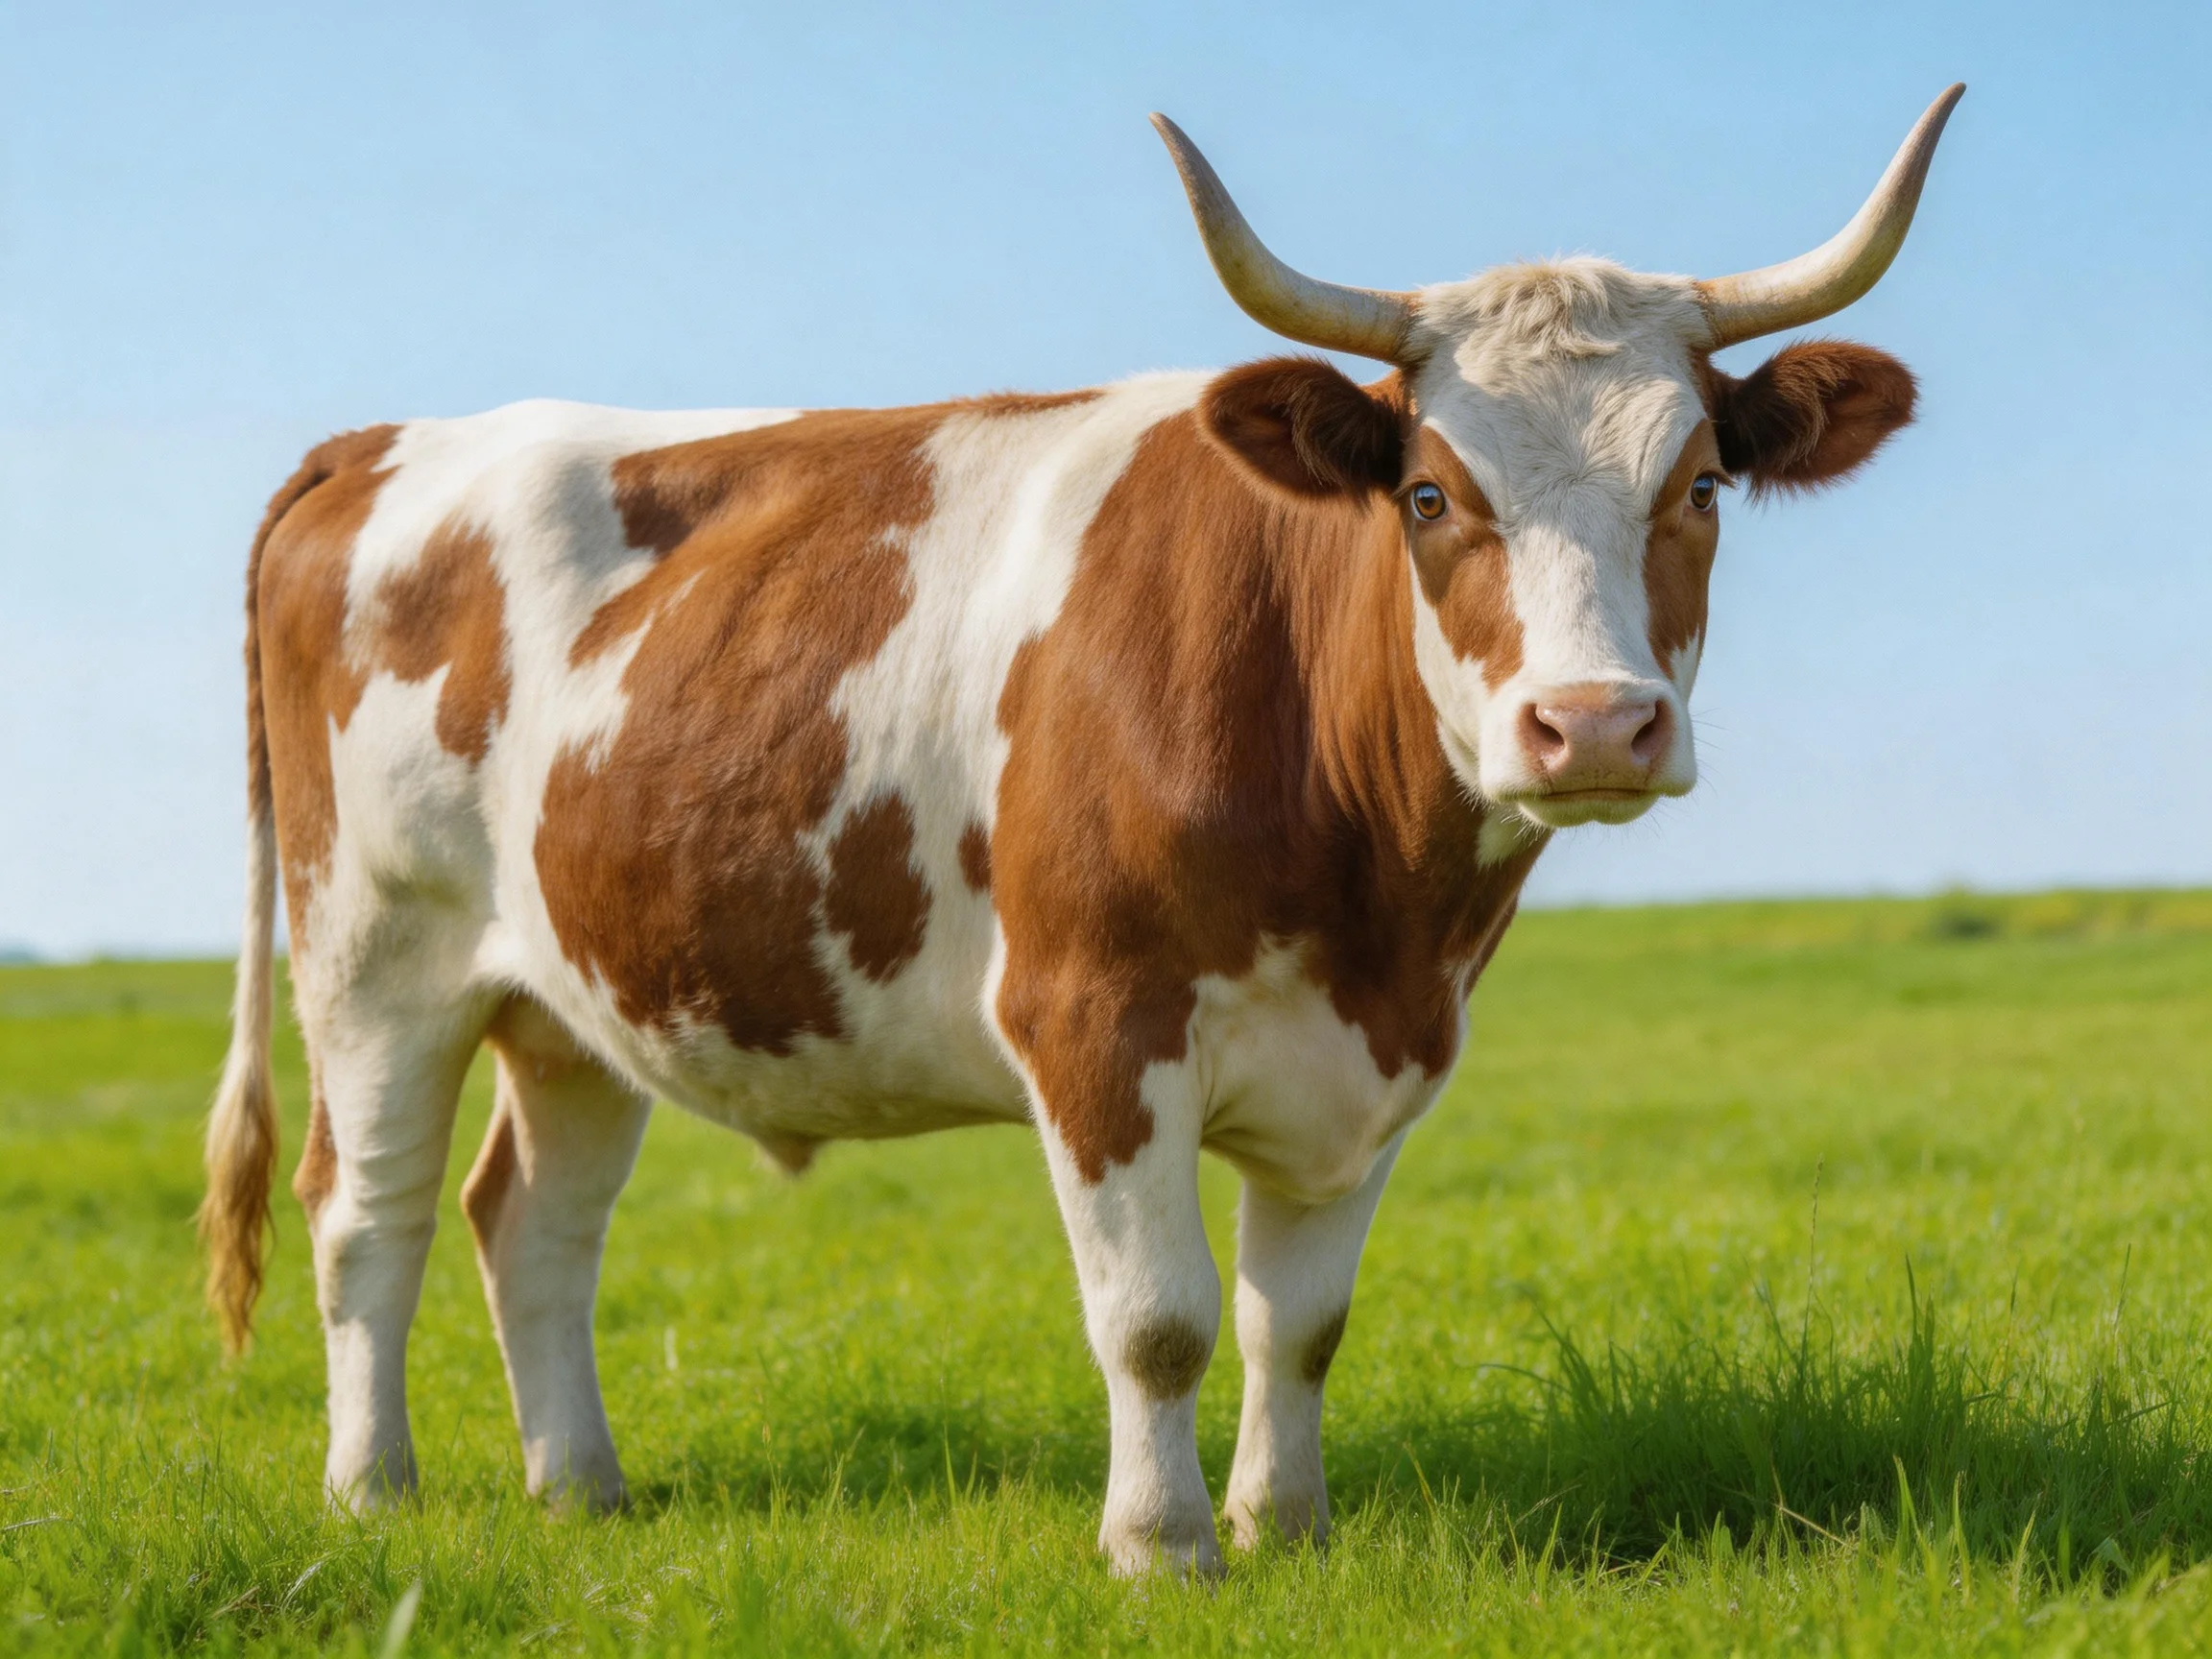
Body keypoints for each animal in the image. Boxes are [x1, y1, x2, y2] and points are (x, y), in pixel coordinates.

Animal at [199, 86, 1960, 1573]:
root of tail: (391, 442)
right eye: (1429, 497)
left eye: (1699, 488)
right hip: (374, 960)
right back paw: (371, 1491)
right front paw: (1160, 1546)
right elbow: (1157, 1317)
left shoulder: (1383, 1052)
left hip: (577, 990)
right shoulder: (1095, 1020)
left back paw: (580, 1487)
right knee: (366, 1216)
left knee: (536, 1223)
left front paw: (1281, 1527)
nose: (1590, 724)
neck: (1371, 904)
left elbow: (1295, 1323)